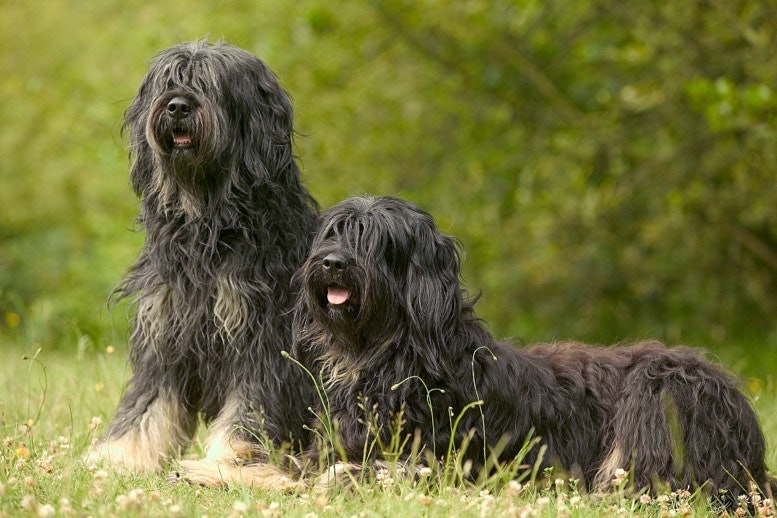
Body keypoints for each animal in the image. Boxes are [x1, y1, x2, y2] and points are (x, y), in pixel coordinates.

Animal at [88, 38, 322, 490]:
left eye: (210, 84)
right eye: (169, 81)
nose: (178, 106)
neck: (208, 222)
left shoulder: (264, 343)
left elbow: (247, 416)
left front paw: (225, 464)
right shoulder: (166, 330)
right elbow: (147, 407)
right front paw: (120, 457)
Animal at [290, 197, 768, 510]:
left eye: (378, 241)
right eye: (333, 232)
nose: (332, 263)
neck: (386, 353)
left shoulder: (447, 465)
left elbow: (367, 472)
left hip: (659, 387)